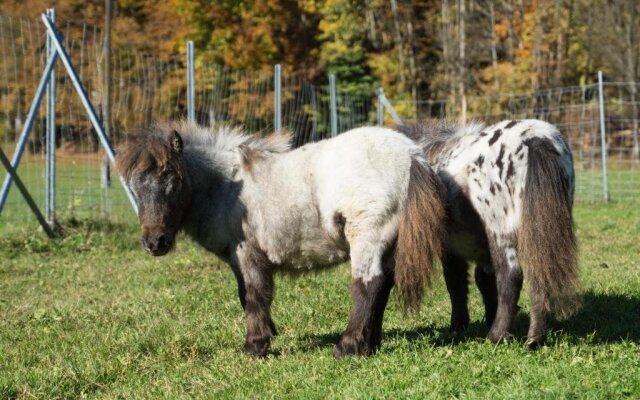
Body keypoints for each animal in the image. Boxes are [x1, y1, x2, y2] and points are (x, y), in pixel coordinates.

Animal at [116, 123, 444, 358]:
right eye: (134, 187)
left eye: (174, 183)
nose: (154, 242)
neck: (226, 187)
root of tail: (411, 154)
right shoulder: (239, 259)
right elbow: (246, 295)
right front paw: (268, 333)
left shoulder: (247, 253)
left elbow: (254, 296)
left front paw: (255, 346)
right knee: (383, 286)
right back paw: (370, 344)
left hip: (367, 237)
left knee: (368, 286)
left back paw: (348, 348)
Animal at [402, 119, 576, 350]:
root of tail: (535, 138)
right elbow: (485, 283)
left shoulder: (450, 250)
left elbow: (456, 284)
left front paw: (458, 327)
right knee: (538, 275)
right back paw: (533, 339)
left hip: (501, 231)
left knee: (511, 276)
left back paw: (497, 335)